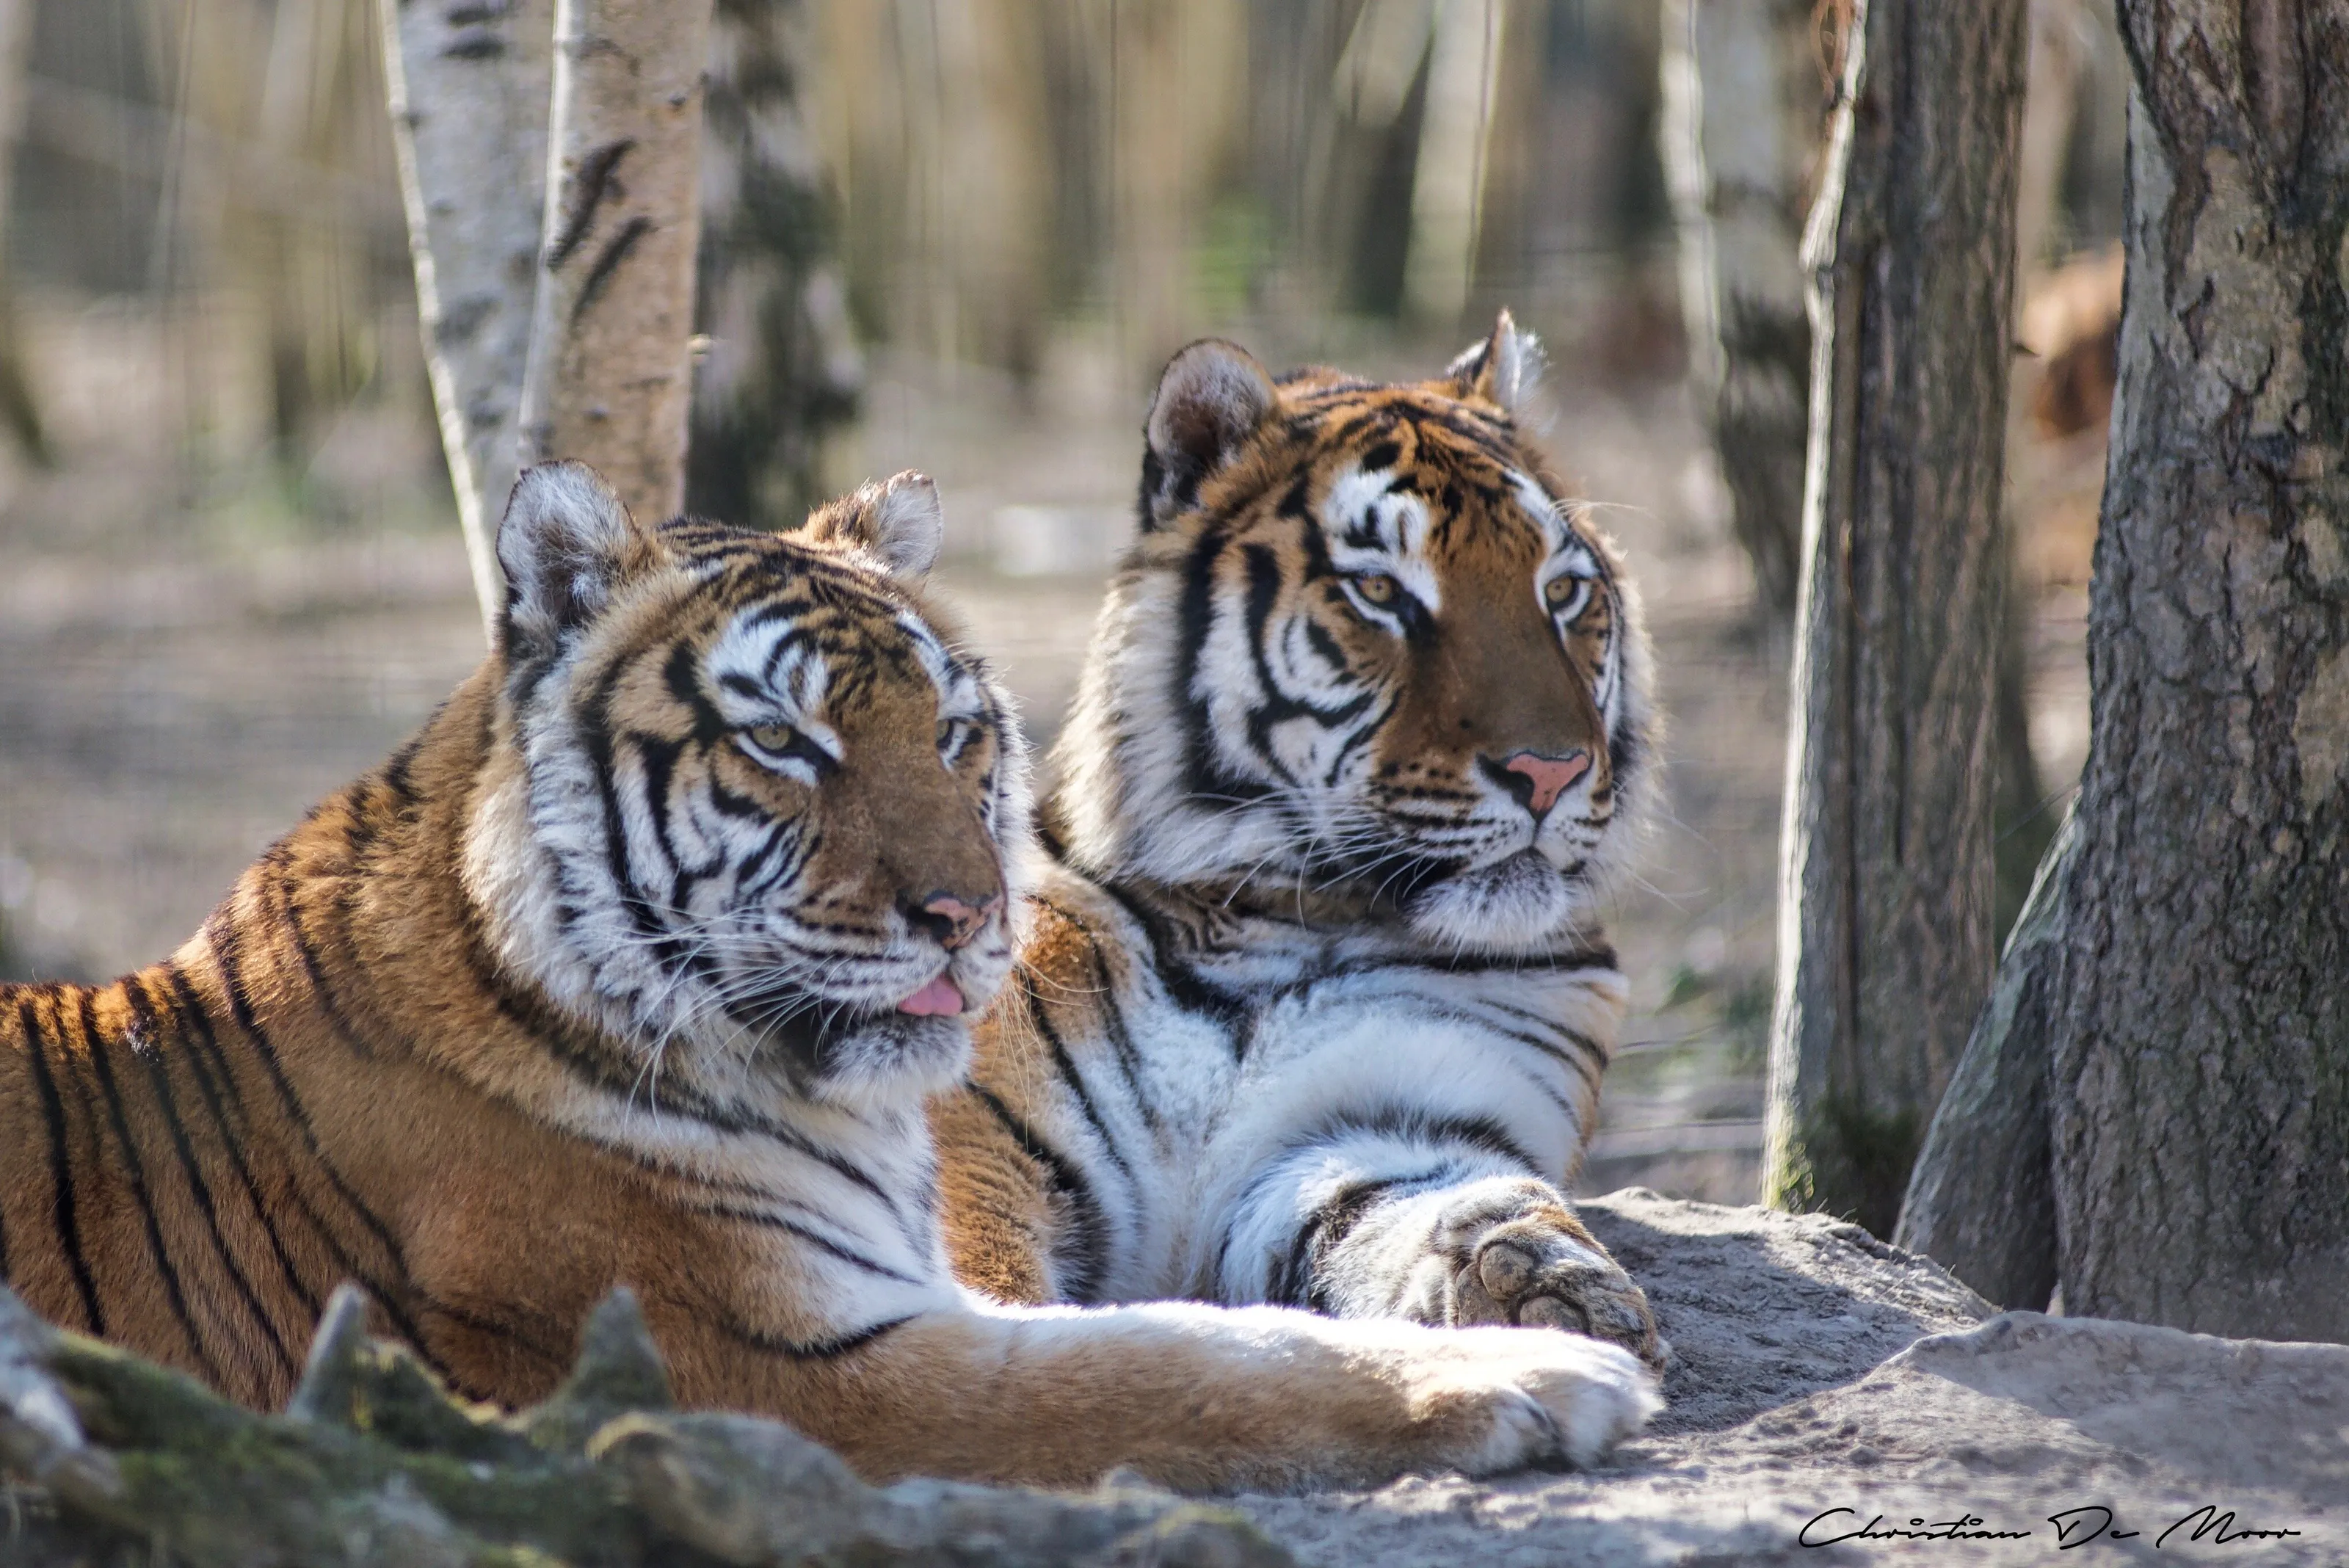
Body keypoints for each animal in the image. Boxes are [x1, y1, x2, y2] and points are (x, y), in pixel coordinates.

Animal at [0, 459, 1658, 1492]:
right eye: (782, 740)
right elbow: (1189, 1367)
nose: (972, 912)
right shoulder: (795, 1370)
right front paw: (1534, 1377)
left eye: (953, 732)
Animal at [935, 314, 1665, 1372]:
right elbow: (967, 1278)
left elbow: (1454, 1208)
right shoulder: (974, 1134)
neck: (1287, 921)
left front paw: (1555, 1299)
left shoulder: (1368, 1128)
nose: (1551, 770)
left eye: (1563, 592)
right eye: (1379, 593)